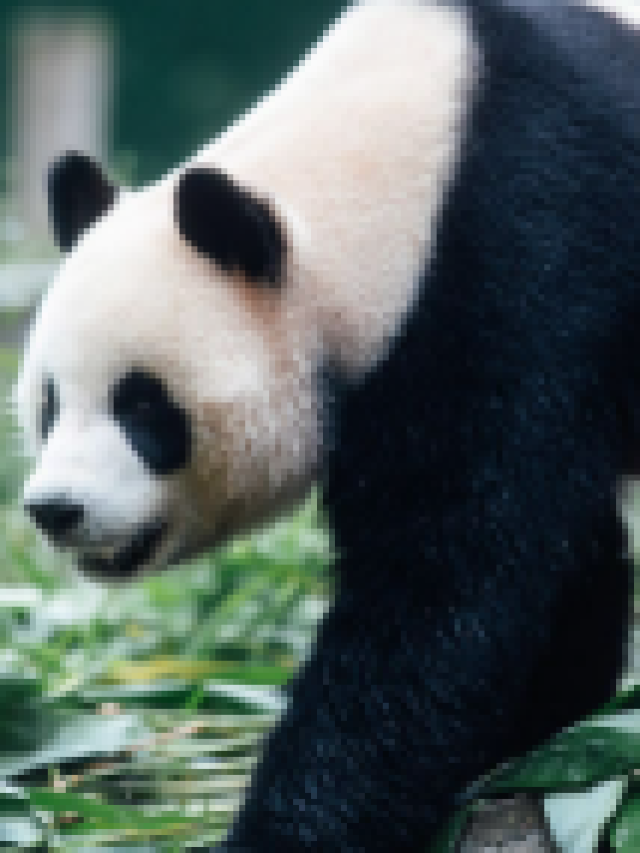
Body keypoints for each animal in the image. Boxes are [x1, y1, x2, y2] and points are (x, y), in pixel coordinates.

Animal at [14, 0, 640, 849]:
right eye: (48, 402)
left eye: (142, 405)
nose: (56, 509)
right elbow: (560, 553)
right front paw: (546, 723)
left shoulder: (528, 260)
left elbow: (443, 590)